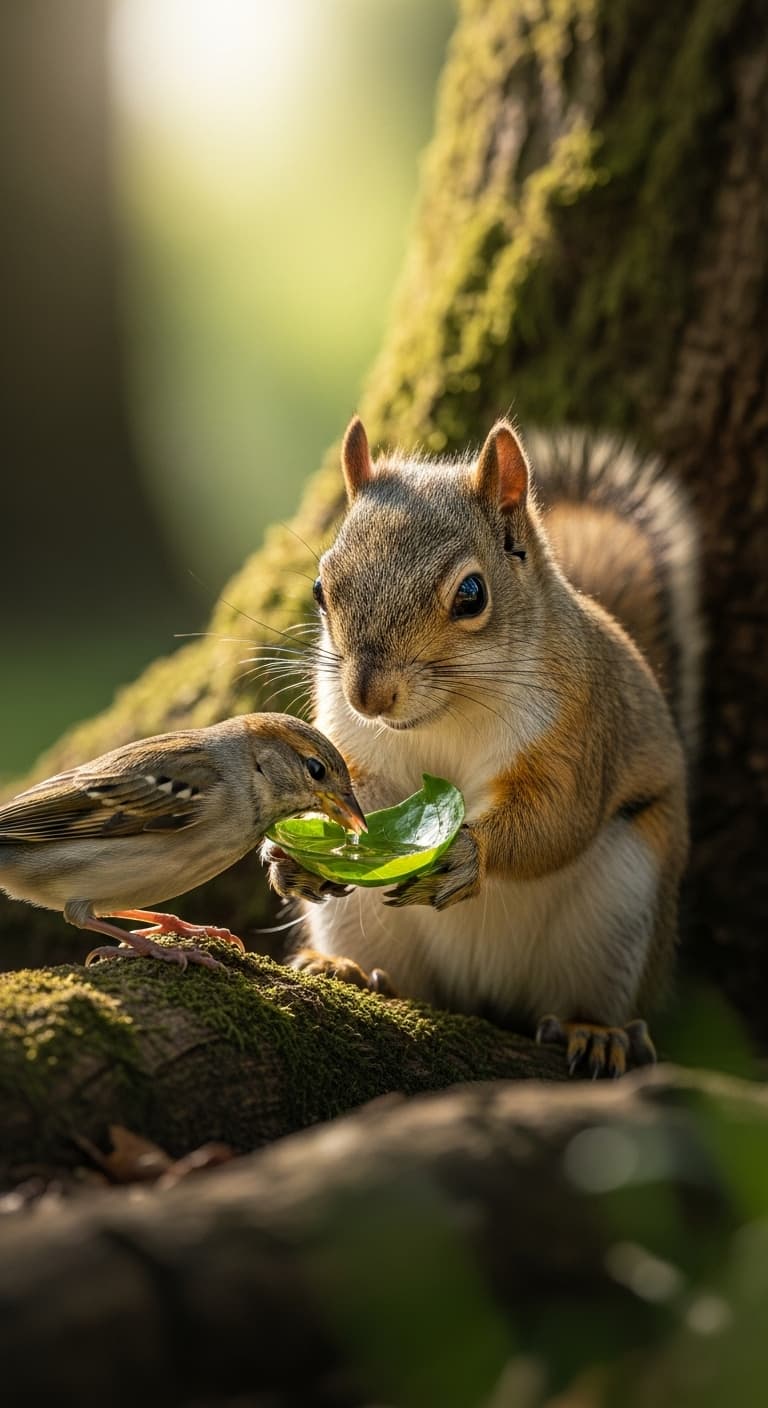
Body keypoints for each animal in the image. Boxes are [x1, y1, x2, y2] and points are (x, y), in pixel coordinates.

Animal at [266, 416, 702, 1076]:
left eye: (471, 594)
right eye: (320, 588)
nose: (369, 695)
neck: (446, 716)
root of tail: (480, 995)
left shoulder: (576, 733)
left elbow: (558, 818)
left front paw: (470, 852)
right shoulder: (356, 746)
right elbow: (358, 796)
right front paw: (295, 855)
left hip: (624, 904)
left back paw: (597, 1032)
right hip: (359, 922)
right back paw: (348, 970)